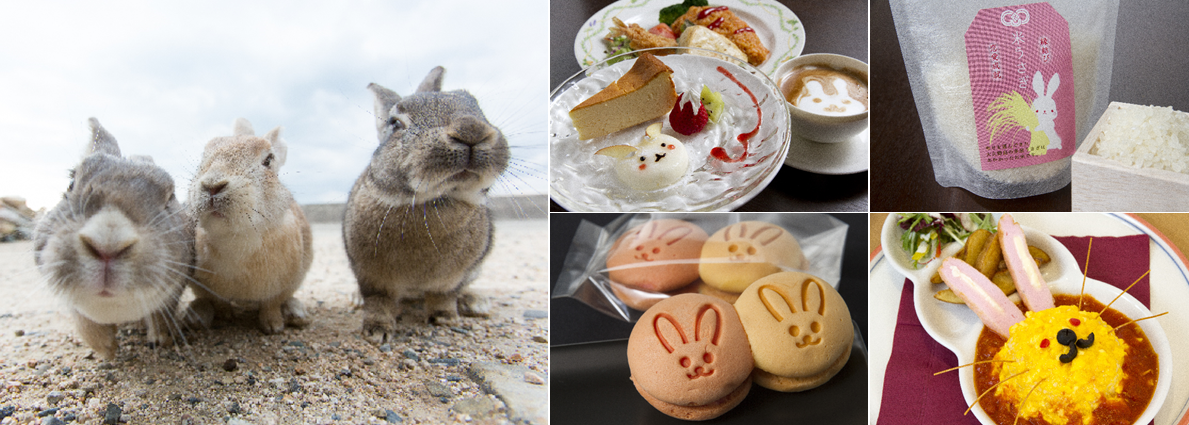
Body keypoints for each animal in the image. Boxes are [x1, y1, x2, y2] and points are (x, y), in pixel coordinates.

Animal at [33, 118, 195, 360]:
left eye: (170, 199)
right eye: (71, 183)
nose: (107, 246)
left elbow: (160, 315)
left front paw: (159, 340)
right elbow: (85, 324)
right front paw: (106, 350)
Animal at [185, 118, 312, 334]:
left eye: (268, 160)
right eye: (204, 154)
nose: (212, 185)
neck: (237, 237)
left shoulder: (282, 285)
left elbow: (271, 304)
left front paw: (273, 326)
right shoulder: (206, 286)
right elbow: (218, 302)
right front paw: (225, 317)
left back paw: (296, 313)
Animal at [343, 66, 509, 342]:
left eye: (476, 105)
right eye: (395, 123)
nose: (471, 131)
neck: (432, 201)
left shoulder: (451, 279)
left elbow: (444, 297)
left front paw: (446, 319)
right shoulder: (372, 276)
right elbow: (378, 301)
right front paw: (377, 331)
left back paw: (474, 302)